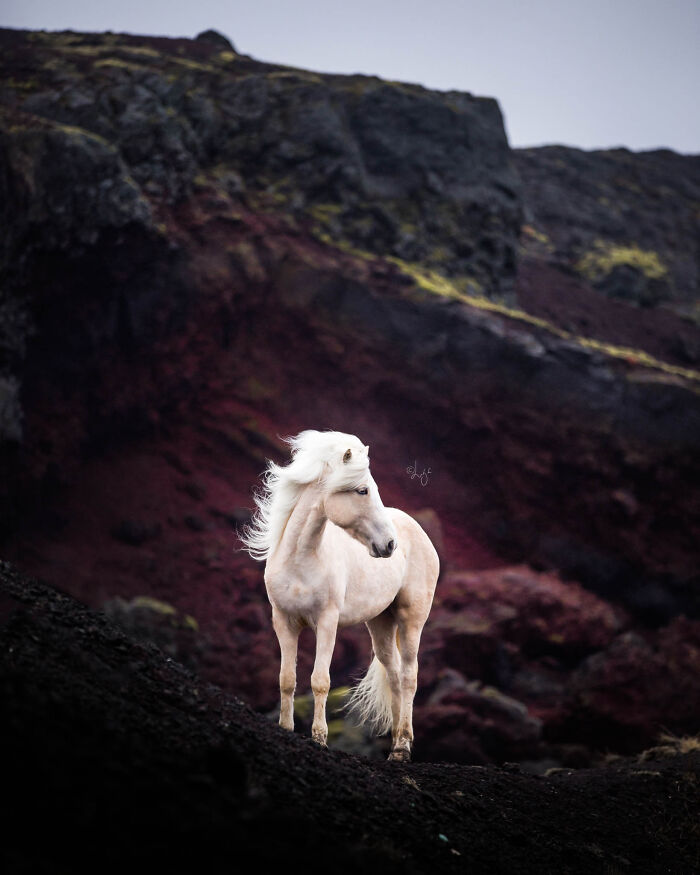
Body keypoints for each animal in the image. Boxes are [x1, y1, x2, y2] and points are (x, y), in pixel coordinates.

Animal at [240, 429, 439, 762]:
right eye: (362, 490)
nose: (389, 545)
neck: (302, 560)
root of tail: (416, 529)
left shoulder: (327, 622)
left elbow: (320, 681)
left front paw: (319, 739)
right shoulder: (283, 622)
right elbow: (287, 680)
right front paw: (285, 730)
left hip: (411, 619)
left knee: (409, 676)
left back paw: (402, 748)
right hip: (380, 624)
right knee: (394, 676)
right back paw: (395, 747)